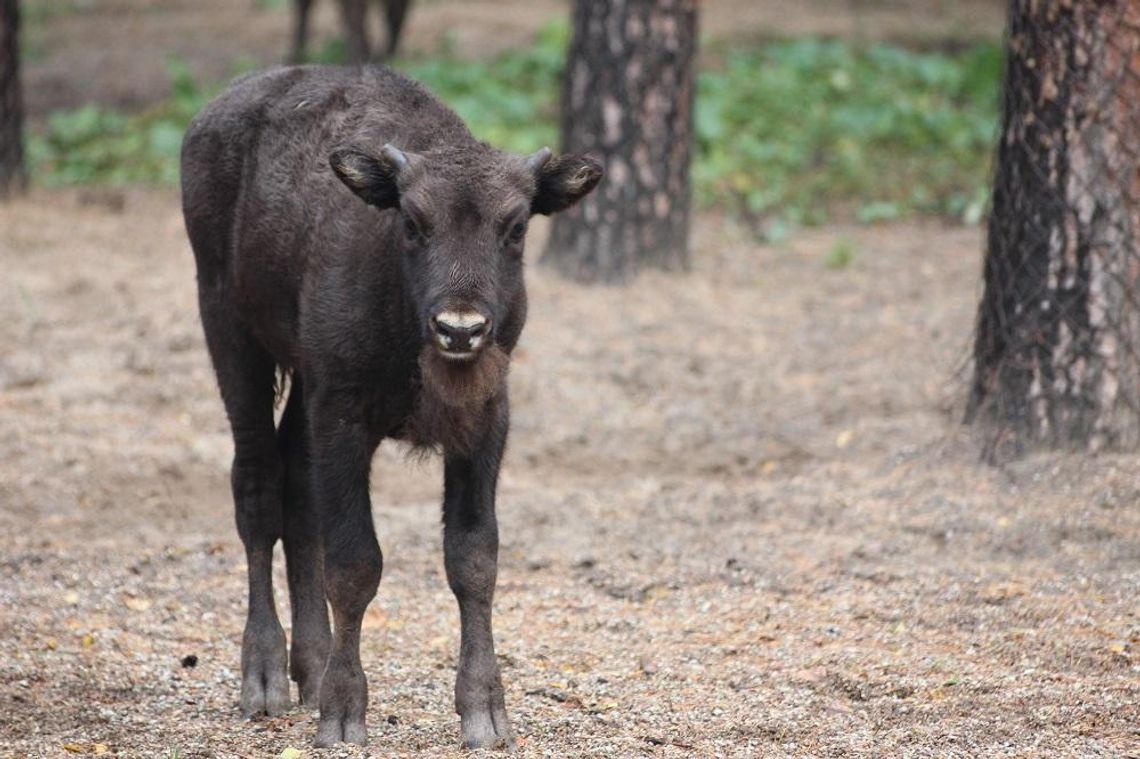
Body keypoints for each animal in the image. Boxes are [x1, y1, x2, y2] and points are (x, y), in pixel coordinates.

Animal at [177, 63, 601, 743]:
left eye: (515, 227)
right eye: (412, 222)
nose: (460, 329)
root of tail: (211, 117)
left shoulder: (484, 423)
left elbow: (473, 558)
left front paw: (486, 712)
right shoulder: (343, 418)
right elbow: (356, 564)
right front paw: (343, 715)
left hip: (300, 381)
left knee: (297, 492)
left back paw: (311, 664)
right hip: (231, 336)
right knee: (257, 487)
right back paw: (265, 678)